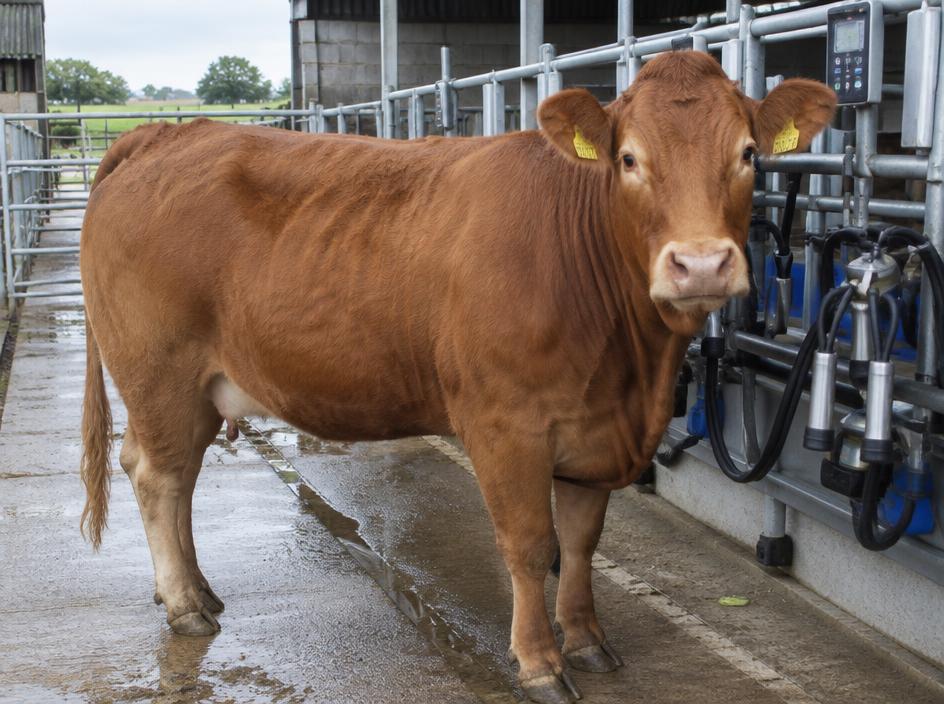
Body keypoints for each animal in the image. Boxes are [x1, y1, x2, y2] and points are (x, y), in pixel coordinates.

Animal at [79, 51, 834, 704]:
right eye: (629, 159)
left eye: (748, 154)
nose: (701, 264)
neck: (631, 368)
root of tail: (167, 134)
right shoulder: (506, 426)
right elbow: (530, 546)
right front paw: (539, 663)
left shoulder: (596, 431)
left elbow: (582, 543)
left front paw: (589, 641)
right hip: (159, 375)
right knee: (158, 475)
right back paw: (186, 607)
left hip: (193, 391)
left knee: (171, 474)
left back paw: (195, 590)